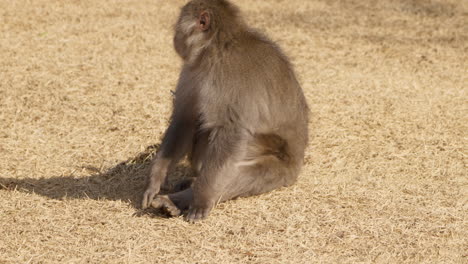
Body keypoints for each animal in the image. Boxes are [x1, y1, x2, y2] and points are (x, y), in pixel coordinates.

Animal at [142, 0, 310, 223]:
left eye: (179, 26)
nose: (175, 38)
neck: (217, 48)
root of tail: (298, 163)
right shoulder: (192, 70)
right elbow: (185, 119)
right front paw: (156, 178)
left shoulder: (230, 78)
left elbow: (232, 131)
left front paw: (201, 199)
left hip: (279, 167)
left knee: (239, 171)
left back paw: (180, 198)